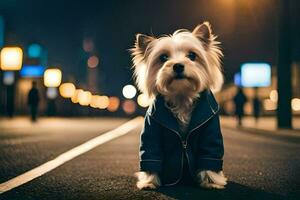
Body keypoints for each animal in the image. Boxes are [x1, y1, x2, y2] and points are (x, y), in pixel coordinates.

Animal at [131, 21, 227, 189]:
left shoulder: (210, 132)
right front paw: (149, 181)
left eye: (192, 55)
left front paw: (211, 181)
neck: (182, 97)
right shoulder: (151, 133)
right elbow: (151, 155)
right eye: (163, 57)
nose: (178, 66)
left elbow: (209, 153)